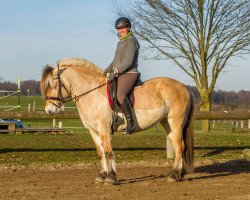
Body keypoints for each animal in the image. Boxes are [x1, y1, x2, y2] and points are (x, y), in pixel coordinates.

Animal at [40, 57, 194, 184]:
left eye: (53, 85)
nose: (49, 110)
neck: (92, 93)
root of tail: (183, 87)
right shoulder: (93, 130)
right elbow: (101, 153)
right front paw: (102, 176)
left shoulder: (104, 128)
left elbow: (108, 152)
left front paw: (111, 177)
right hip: (167, 123)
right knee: (178, 145)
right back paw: (180, 174)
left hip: (176, 122)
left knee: (179, 147)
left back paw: (174, 175)